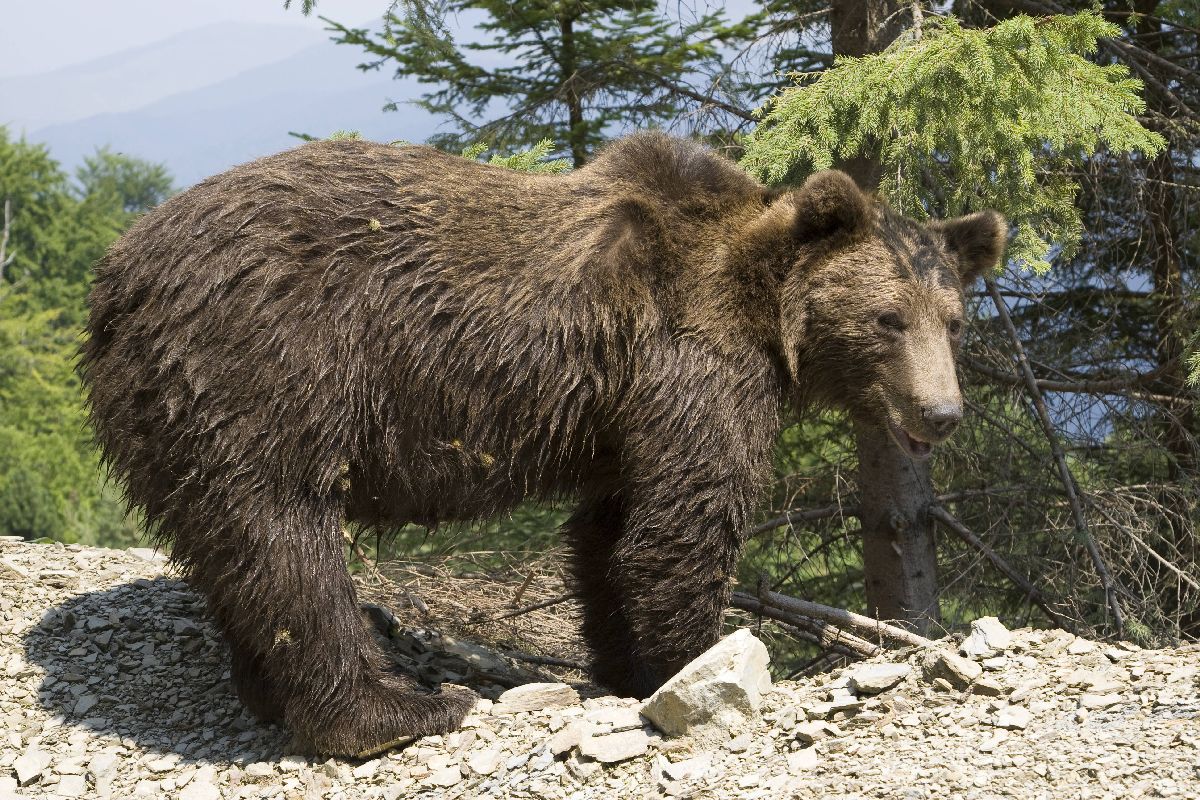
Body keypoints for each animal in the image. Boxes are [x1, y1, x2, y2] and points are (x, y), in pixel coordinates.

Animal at [79, 131, 1008, 758]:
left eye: (953, 320)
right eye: (888, 319)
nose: (941, 412)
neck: (766, 312)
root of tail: (117, 277)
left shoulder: (625, 410)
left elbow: (613, 531)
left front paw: (627, 661)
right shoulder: (692, 361)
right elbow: (686, 520)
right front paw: (697, 661)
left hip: (175, 413)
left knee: (234, 550)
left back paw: (267, 692)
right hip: (263, 368)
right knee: (287, 541)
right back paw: (392, 710)